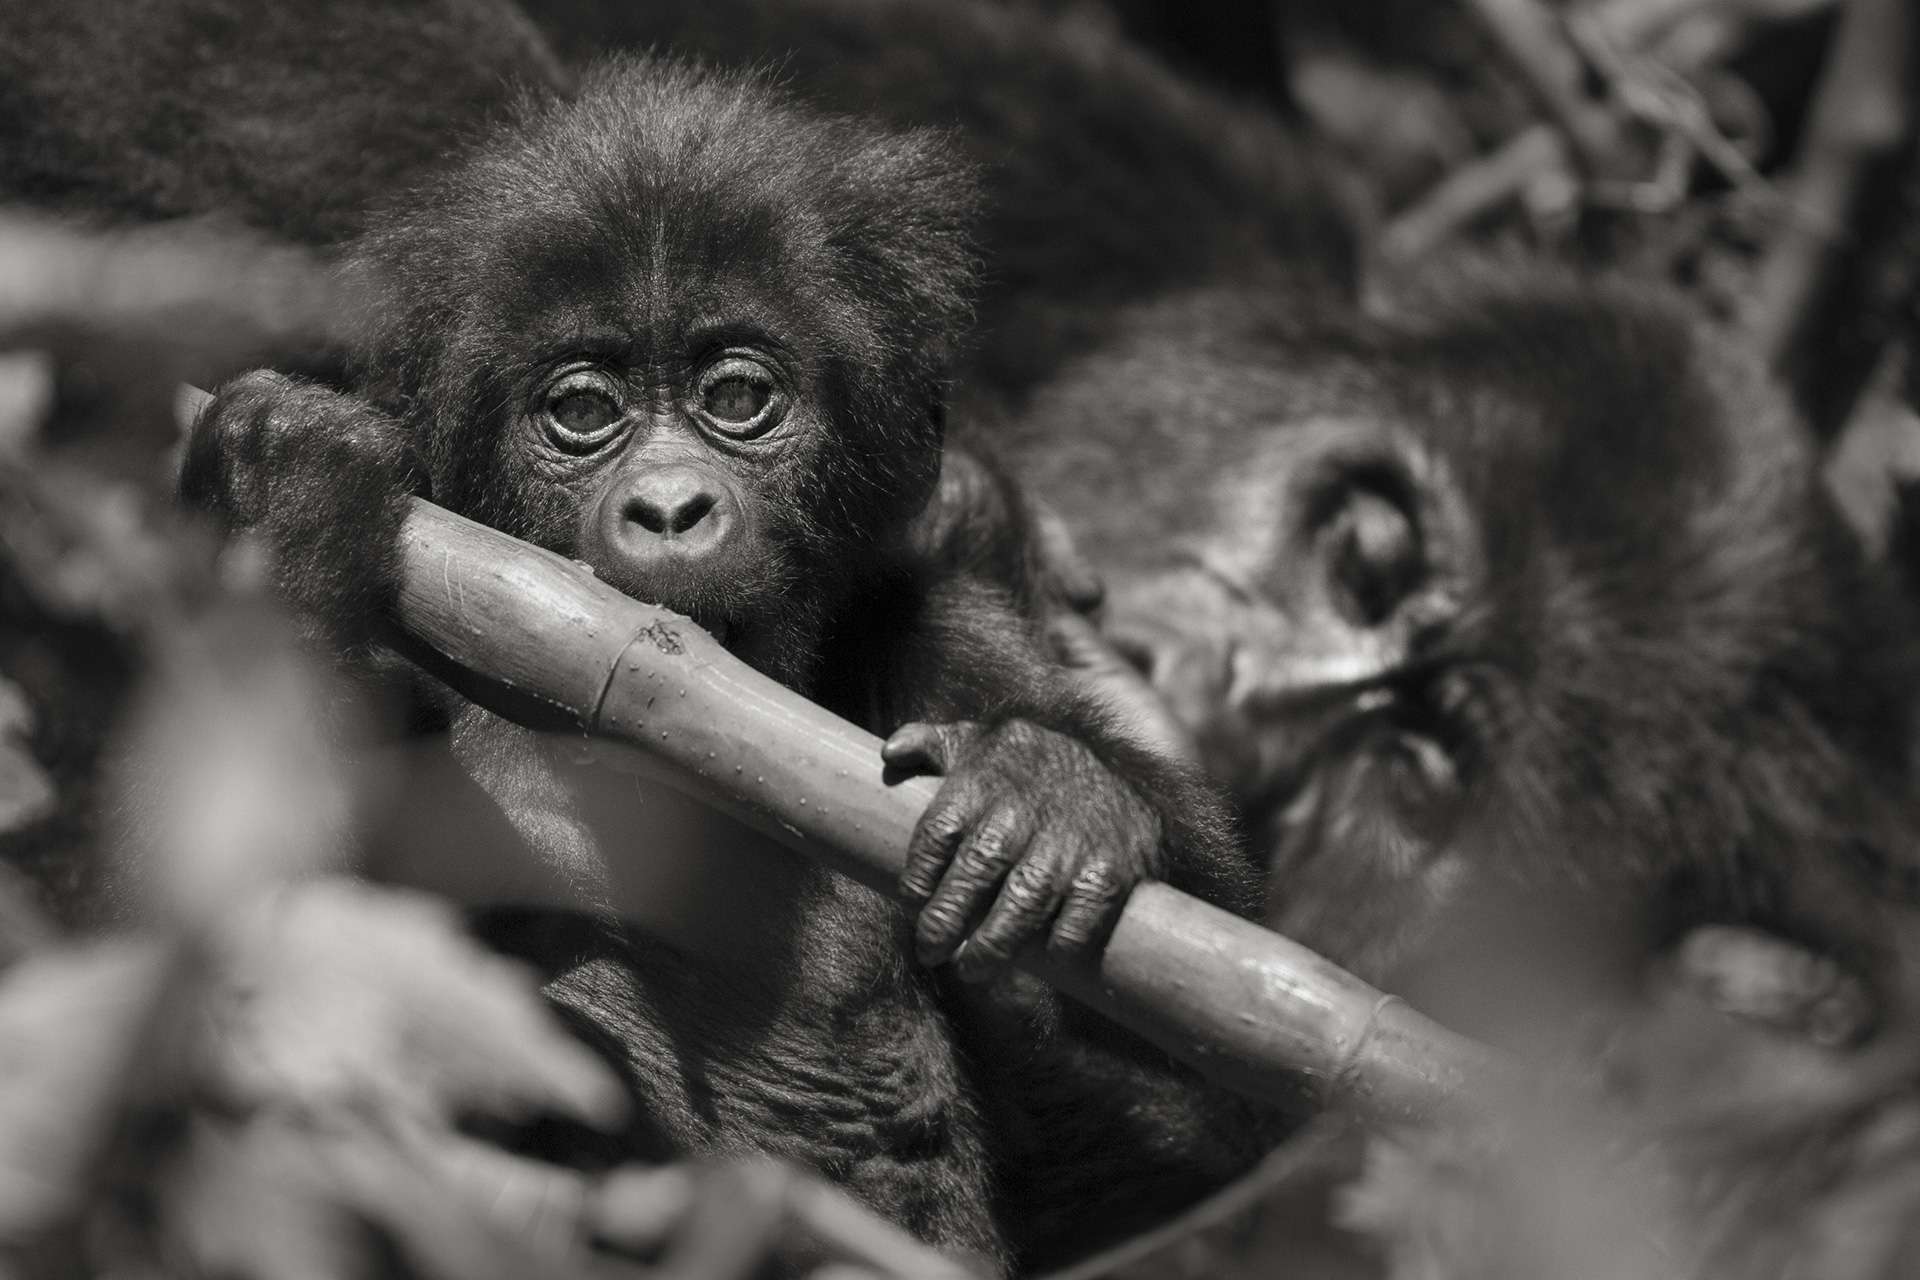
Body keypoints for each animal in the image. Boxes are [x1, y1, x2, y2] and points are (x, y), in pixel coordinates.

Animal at [172, 57, 1236, 1258]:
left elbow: (1206, 1151)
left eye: (736, 398)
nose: (671, 506)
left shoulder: (937, 629)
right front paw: (280, 508)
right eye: (583, 409)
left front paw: (1059, 798)